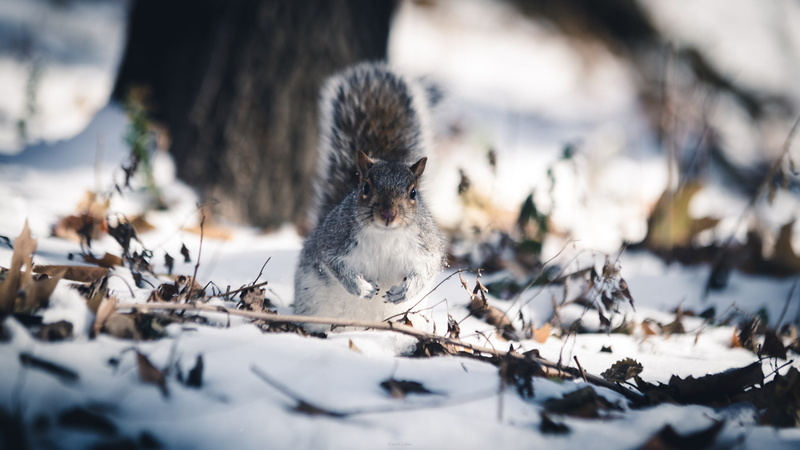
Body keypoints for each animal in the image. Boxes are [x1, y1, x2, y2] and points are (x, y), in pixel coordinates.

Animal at [293, 62, 446, 333]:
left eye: (413, 192)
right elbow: (335, 265)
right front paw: (361, 288)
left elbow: (427, 267)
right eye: (365, 187)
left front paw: (404, 290)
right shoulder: (335, 240)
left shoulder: (427, 244)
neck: (385, 235)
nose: (388, 214)